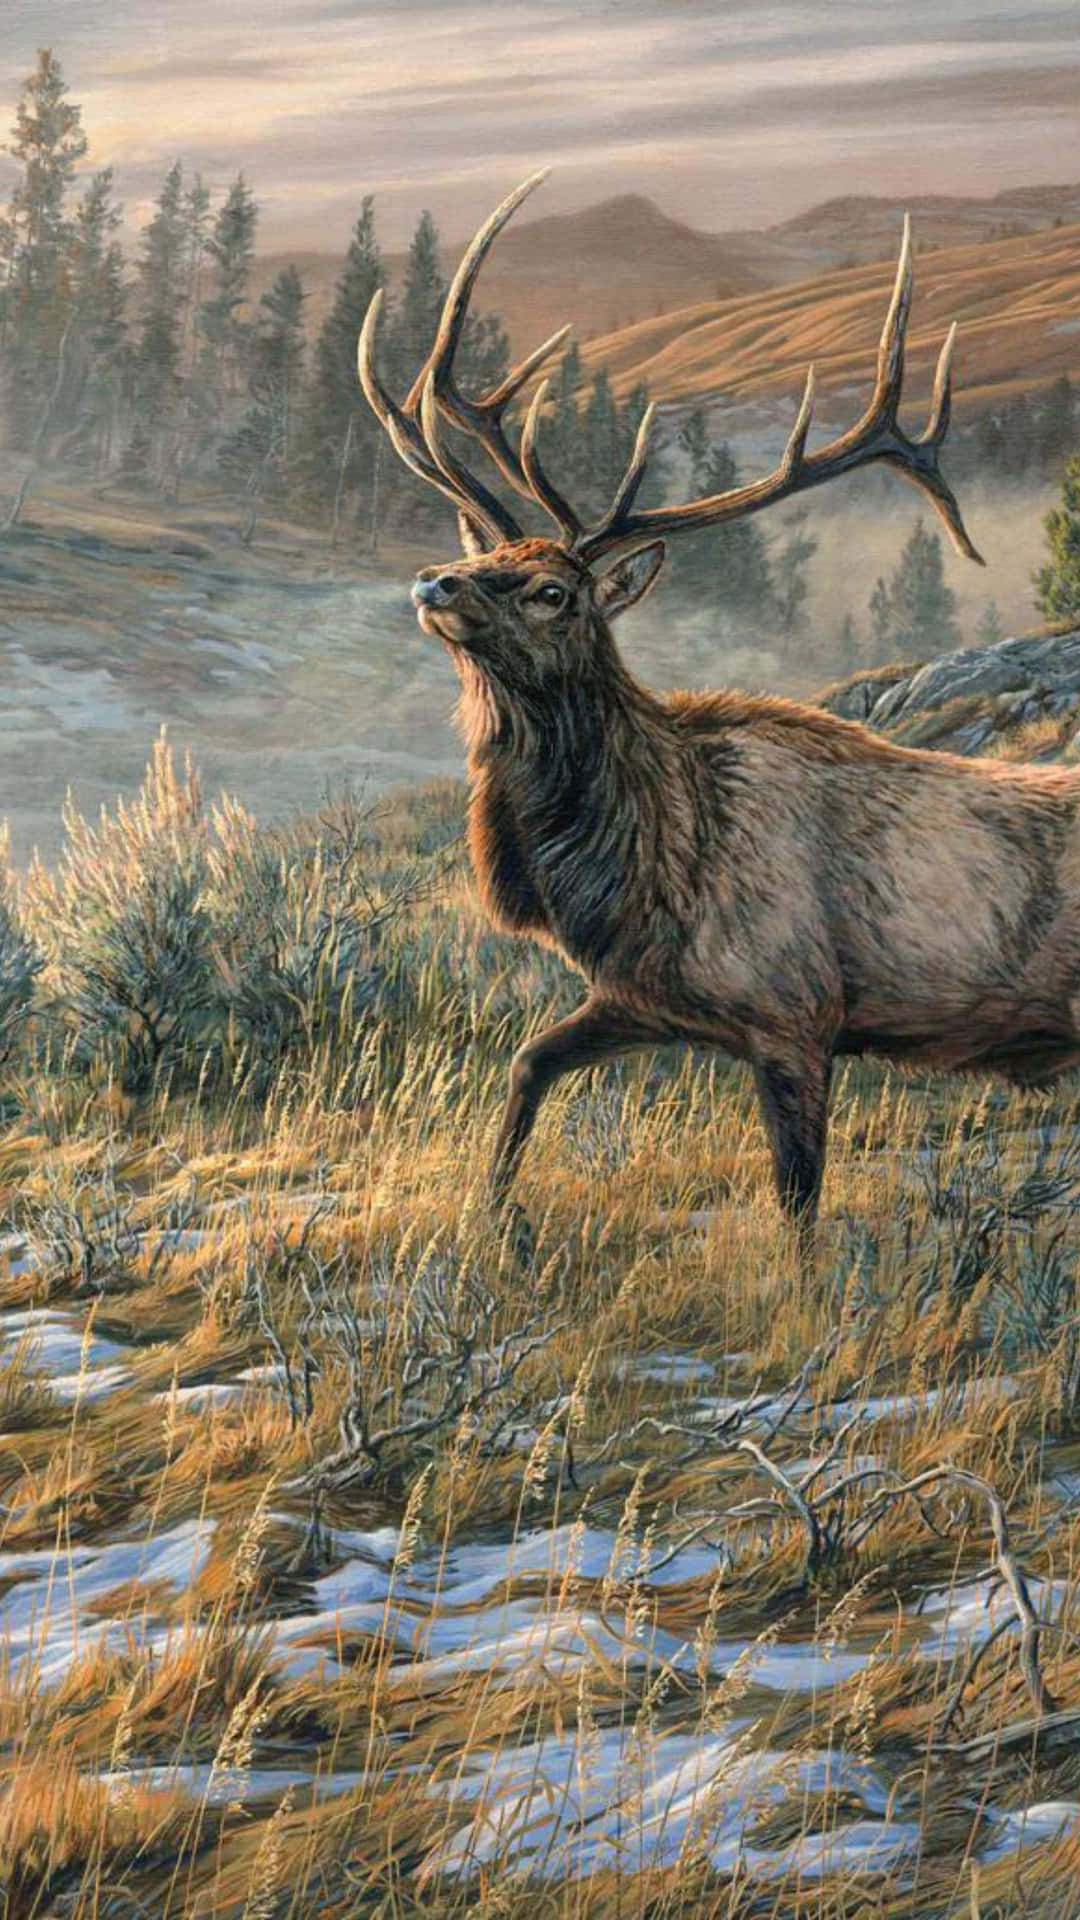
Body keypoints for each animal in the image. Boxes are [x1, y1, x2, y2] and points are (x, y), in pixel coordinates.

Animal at [358, 170, 1080, 1257]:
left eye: (554, 591)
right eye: (493, 554)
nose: (435, 581)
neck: (641, 863)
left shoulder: (796, 1015)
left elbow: (799, 1208)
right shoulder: (645, 1001)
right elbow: (526, 1067)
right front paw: (493, 1219)